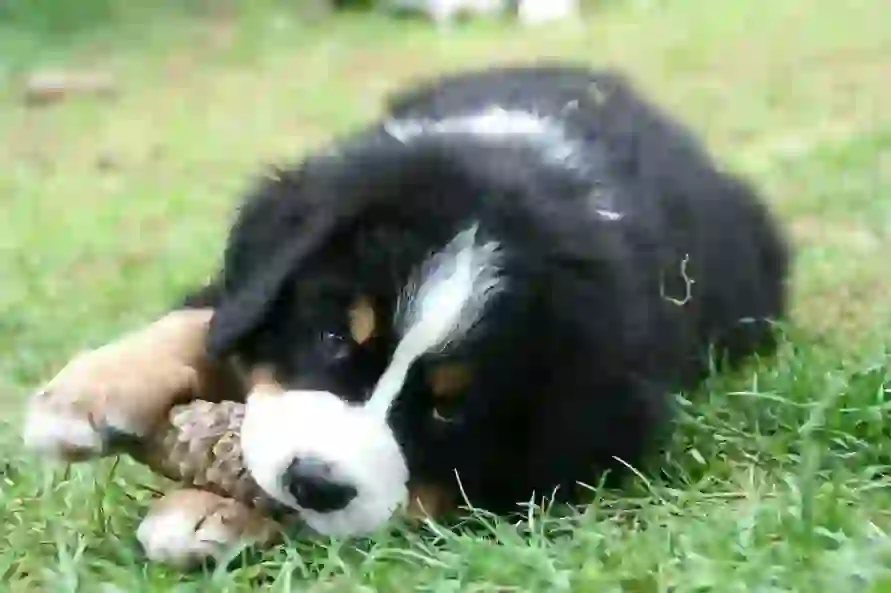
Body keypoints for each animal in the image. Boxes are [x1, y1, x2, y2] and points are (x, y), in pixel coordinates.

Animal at [20, 65, 792, 544]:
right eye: (333, 337)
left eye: (452, 409)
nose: (314, 482)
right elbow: (198, 321)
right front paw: (81, 398)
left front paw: (209, 513)